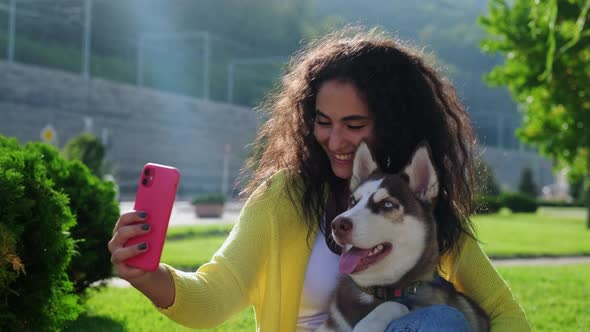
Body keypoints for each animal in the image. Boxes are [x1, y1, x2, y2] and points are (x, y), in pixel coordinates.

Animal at [320, 142, 490, 332]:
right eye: (353, 202)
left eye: (387, 204)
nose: (337, 225)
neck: (377, 290)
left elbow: (393, 305)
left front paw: (367, 325)